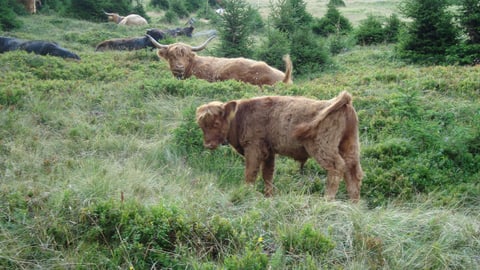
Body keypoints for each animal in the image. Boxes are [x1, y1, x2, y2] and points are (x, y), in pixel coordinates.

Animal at [196, 91, 364, 202]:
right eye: (201, 125)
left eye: (216, 123)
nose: (208, 144)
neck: (240, 116)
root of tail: (343, 102)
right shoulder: (269, 152)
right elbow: (267, 175)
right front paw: (269, 196)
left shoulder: (254, 149)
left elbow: (250, 174)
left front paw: (246, 192)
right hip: (349, 146)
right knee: (353, 173)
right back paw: (353, 205)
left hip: (323, 148)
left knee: (337, 168)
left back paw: (327, 200)